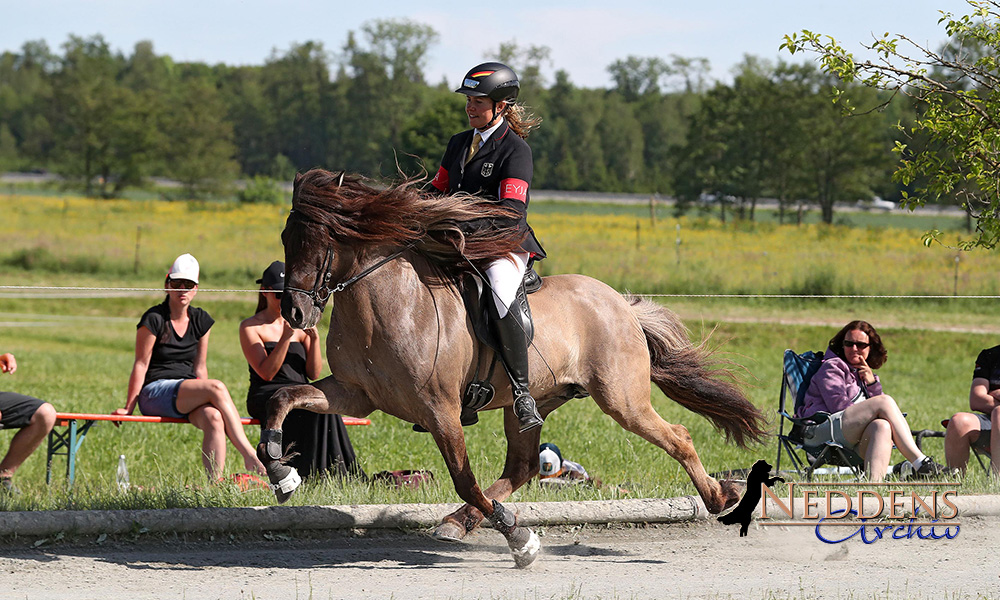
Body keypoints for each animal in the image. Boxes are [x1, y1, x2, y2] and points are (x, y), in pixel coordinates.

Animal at [258, 169, 764, 568]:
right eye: (286, 239)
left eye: (321, 242)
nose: (296, 315)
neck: (387, 305)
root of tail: (621, 304)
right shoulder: (354, 393)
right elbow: (283, 397)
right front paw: (281, 471)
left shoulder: (440, 410)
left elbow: (463, 479)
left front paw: (520, 539)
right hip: (535, 403)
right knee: (522, 467)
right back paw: (458, 522)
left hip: (622, 398)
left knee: (677, 435)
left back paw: (720, 497)